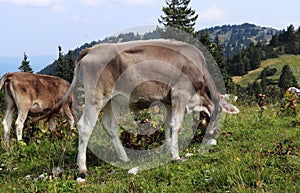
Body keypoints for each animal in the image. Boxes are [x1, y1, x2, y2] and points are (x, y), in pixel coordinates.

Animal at [41, 39, 239, 175]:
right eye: (220, 114)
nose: (213, 133)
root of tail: (92, 49)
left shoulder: (168, 100)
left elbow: (168, 125)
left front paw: (167, 149)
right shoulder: (180, 94)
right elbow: (177, 125)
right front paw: (175, 156)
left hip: (113, 101)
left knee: (109, 125)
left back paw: (124, 157)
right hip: (96, 97)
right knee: (85, 126)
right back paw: (82, 167)